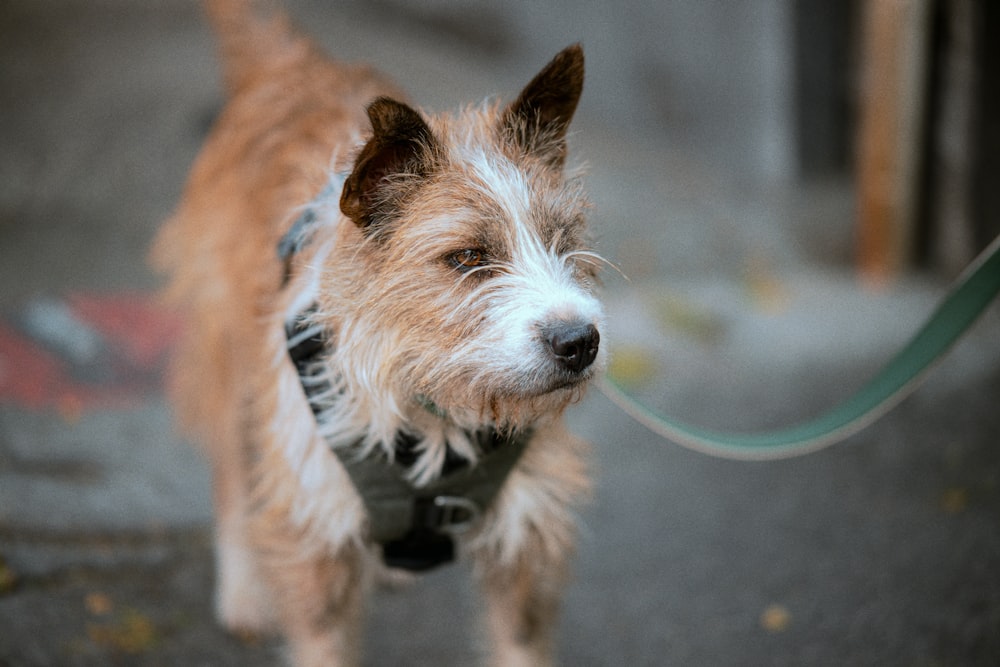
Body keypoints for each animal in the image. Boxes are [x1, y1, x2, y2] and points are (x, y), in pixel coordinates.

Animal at [153, 2, 604, 664]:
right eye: (467, 258)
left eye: (564, 242)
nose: (579, 343)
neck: (432, 411)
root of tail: (295, 67)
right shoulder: (315, 536)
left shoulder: (528, 539)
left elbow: (520, 642)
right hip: (230, 365)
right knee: (232, 477)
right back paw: (243, 593)